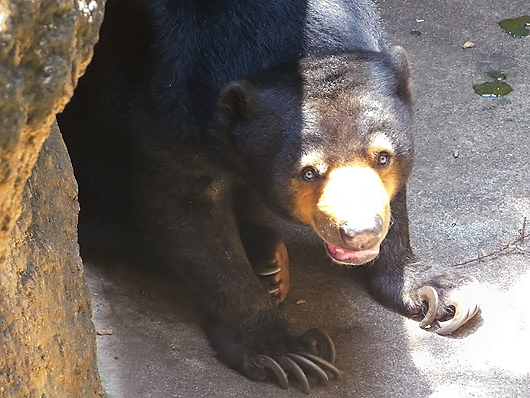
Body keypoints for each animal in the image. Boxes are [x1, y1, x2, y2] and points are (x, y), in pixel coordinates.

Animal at [55, 0, 476, 392]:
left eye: (383, 157)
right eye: (308, 171)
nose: (360, 234)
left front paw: (437, 291)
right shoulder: (170, 92)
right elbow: (187, 209)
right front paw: (287, 353)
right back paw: (266, 255)